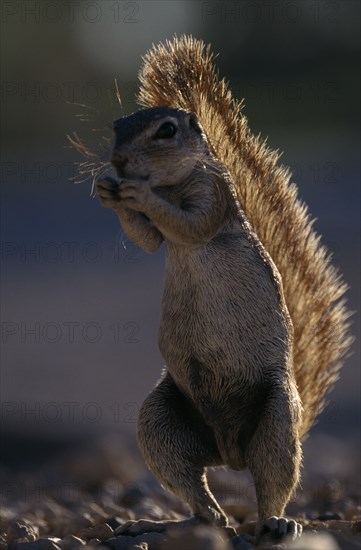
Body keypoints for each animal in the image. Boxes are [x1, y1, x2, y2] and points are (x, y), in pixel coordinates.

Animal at [73, 37, 352, 544]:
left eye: (166, 130)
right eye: (116, 126)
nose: (118, 162)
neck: (172, 182)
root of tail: (229, 453)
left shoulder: (213, 195)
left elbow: (189, 224)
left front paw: (138, 194)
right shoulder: (159, 232)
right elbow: (148, 240)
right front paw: (106, 188)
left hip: (276, 421)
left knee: (269, 482)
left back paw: (277, 522)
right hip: (159, 423)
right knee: (209, 511)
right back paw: (155, 521)